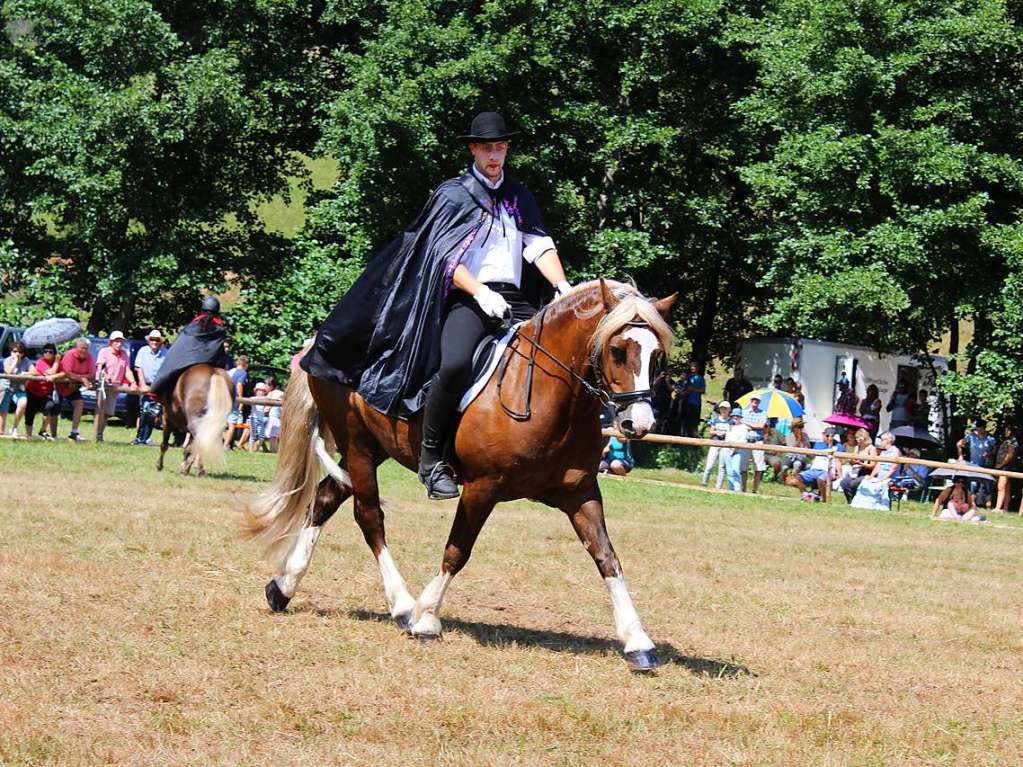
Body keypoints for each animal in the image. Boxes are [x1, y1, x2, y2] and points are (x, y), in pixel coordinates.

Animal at [245, 280, 679, 670]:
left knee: (324, 499)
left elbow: (607, 557)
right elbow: (457, 550)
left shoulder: (580, 493)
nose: (638, 423)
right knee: (368, 517)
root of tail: (315, 346)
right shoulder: (481, 489)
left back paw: (283, 587)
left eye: (657, 356)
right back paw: (402, 604)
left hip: (371, 450)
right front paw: (426, 618)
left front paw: (637, 641)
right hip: (358, 447)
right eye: (618, 350)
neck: (549, 396)